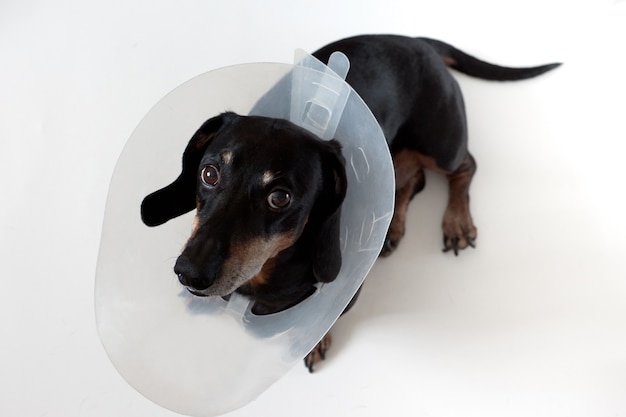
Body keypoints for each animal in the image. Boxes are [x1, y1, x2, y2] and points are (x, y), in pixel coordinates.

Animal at [139, 34, 560, 368]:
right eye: (209, 173)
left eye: (280, 197)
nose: (189, 273)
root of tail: (417, 41)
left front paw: (312, 341)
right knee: (411, 179)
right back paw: (391, 228)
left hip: (441, 145)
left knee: (464, 166)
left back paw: (456, 223)